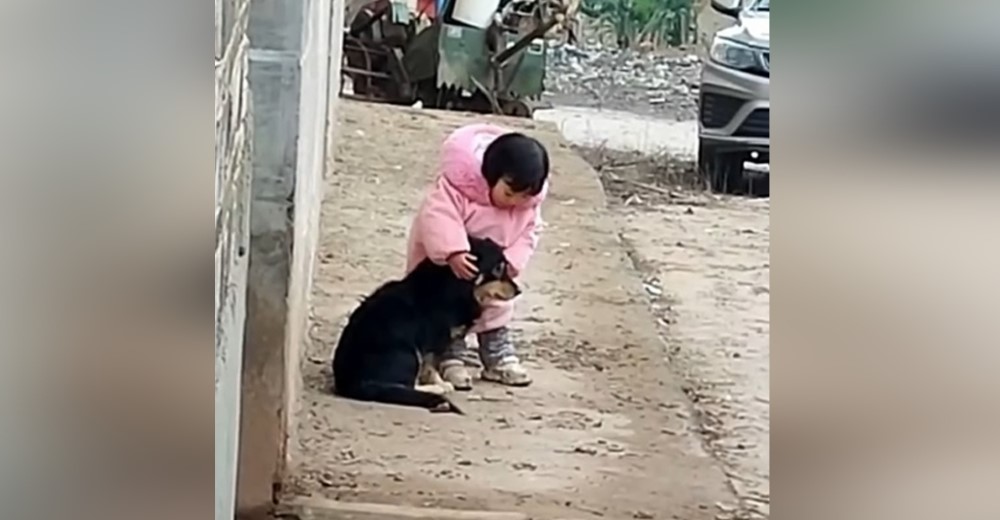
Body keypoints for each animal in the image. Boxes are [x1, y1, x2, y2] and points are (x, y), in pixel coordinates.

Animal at [336, 237, 524, 414]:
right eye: (498, 269)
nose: (519, 291)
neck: (455, 285)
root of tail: (352, 383)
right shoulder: (433, 342)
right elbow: (431, 367)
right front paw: (440, 383)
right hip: (409, 353)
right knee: (407, 386)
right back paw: (435, 390)